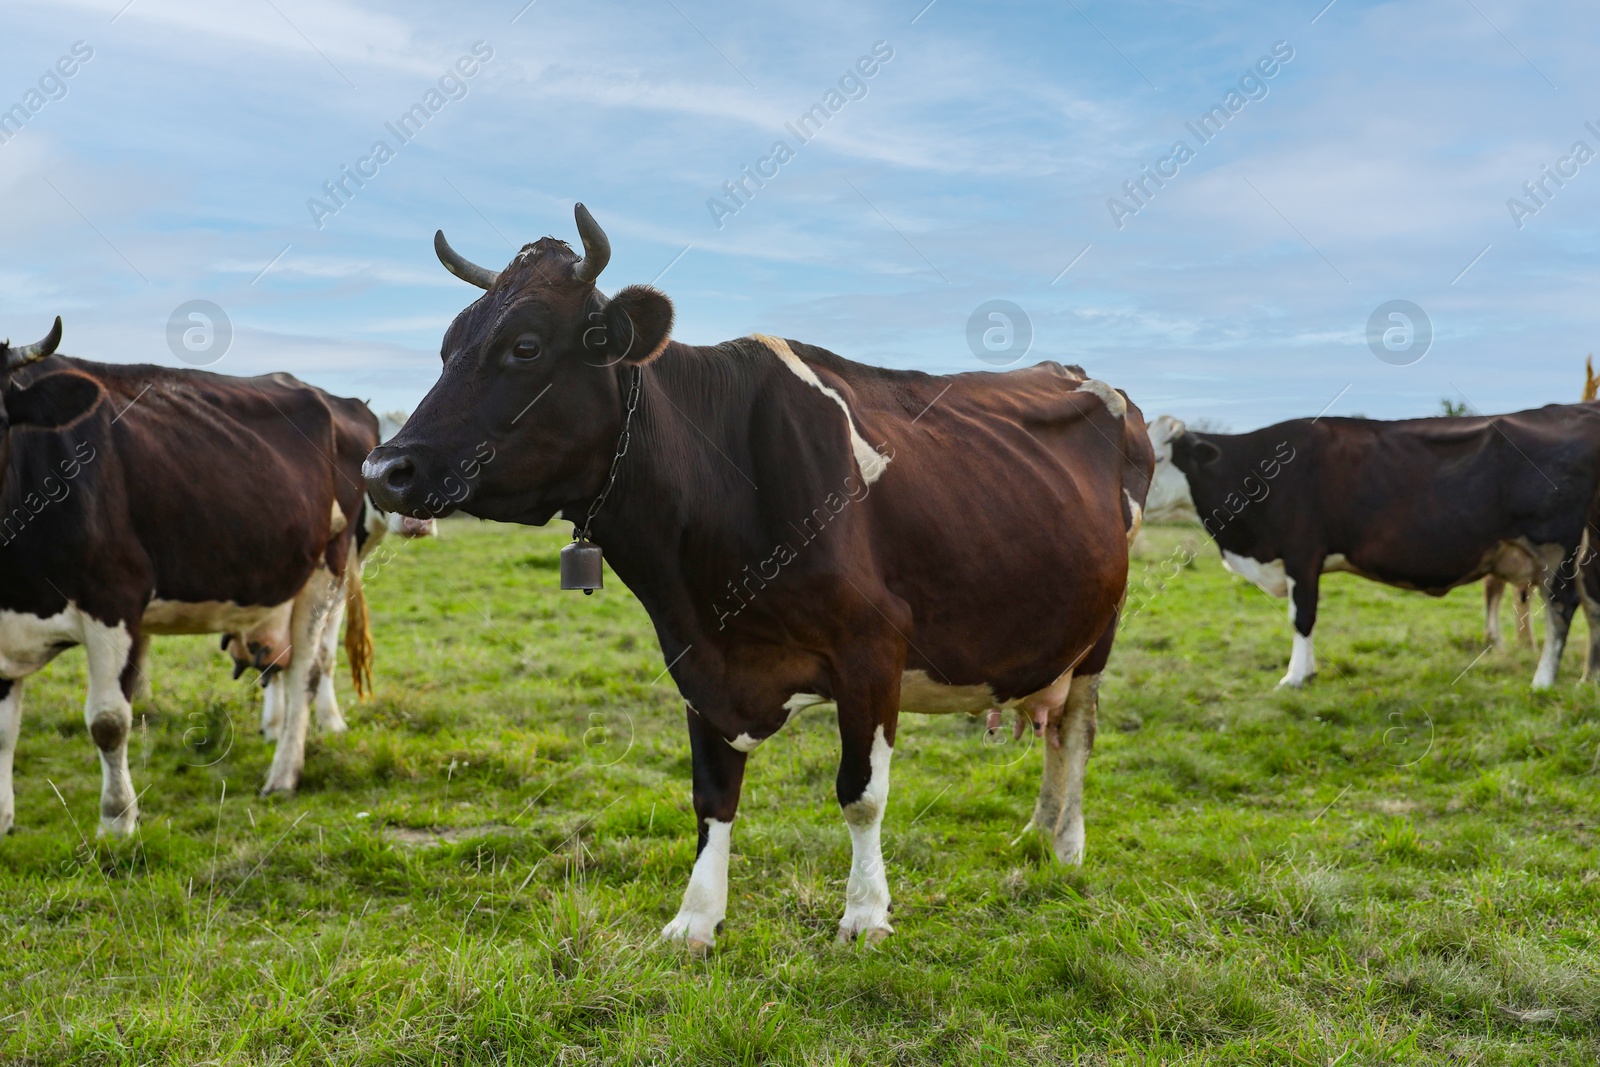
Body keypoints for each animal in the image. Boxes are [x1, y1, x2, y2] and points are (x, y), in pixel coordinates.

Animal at [363, 204, 1152, 947]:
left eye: (524, 346)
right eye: (446, 348)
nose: (382, 469)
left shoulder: (873, 648)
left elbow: (861, 793)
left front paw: (865, 913)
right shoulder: (698, 657)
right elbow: (712, 795)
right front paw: (695, 918)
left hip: (1100, 630)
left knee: (1074, 734)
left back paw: (1067, 847)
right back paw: (1036, 838)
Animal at [1164, 409, 1600, 694]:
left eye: (1158, 457)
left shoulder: (1301, 552)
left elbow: (1301, 617)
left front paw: (1295, 677)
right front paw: (1308, 672)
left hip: (1554, 548)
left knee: (1562, 608)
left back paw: (1543, 681)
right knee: (1592, 605)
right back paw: (1588, 678)